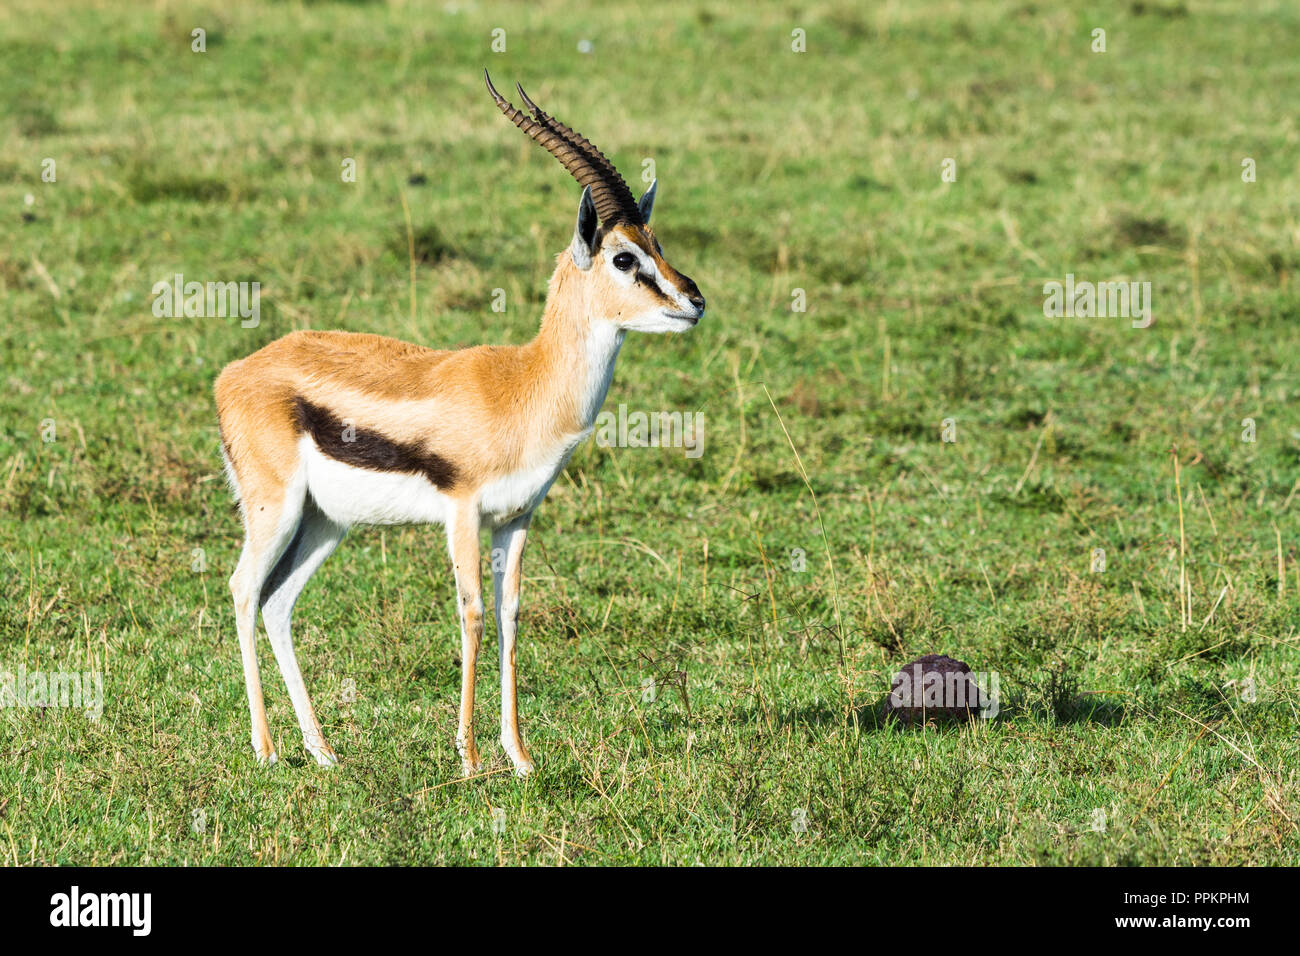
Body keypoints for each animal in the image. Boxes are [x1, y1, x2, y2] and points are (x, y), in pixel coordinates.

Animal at [214, 72, 705, 775]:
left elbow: (510, 615)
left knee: (278, 602)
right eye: (623, 258)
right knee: (243, 590)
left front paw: (519, 756)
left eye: (659, 245)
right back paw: (267, 749)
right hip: (274, 509)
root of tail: (236, 372)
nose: (694, 301)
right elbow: (471, 614)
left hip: (325, 522)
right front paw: (470, 757)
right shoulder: (464, 511)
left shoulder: (517, 518)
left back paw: (323, 751)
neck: (525, 385)